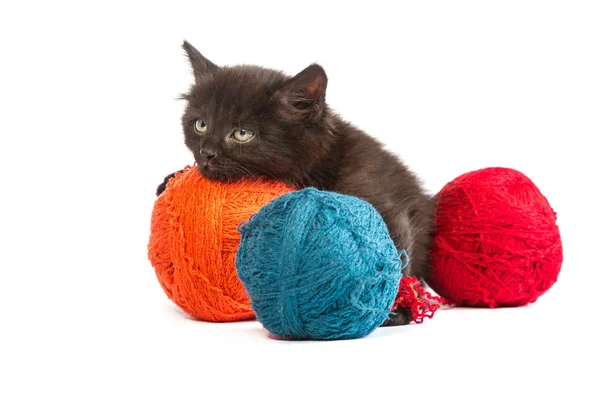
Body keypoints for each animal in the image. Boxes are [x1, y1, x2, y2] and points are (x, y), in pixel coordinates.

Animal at [157, 42, 434, 326]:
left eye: (243, 133)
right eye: (201, 124)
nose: (207, 153)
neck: (321, 164)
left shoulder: (377, 194)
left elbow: (393, 246)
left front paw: (397, 307)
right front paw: (168, 181)